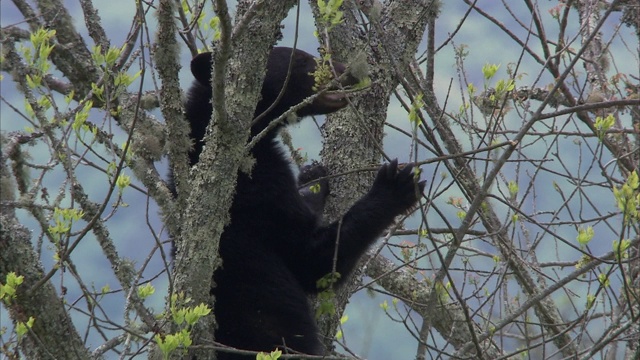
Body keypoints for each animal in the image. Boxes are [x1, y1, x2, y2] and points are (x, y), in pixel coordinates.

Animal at [176, 46, 424, 358]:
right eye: (302, 60)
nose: (348, 69)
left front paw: (312, 176)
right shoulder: (258, 196)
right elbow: (313, 259)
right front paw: (395, 186)